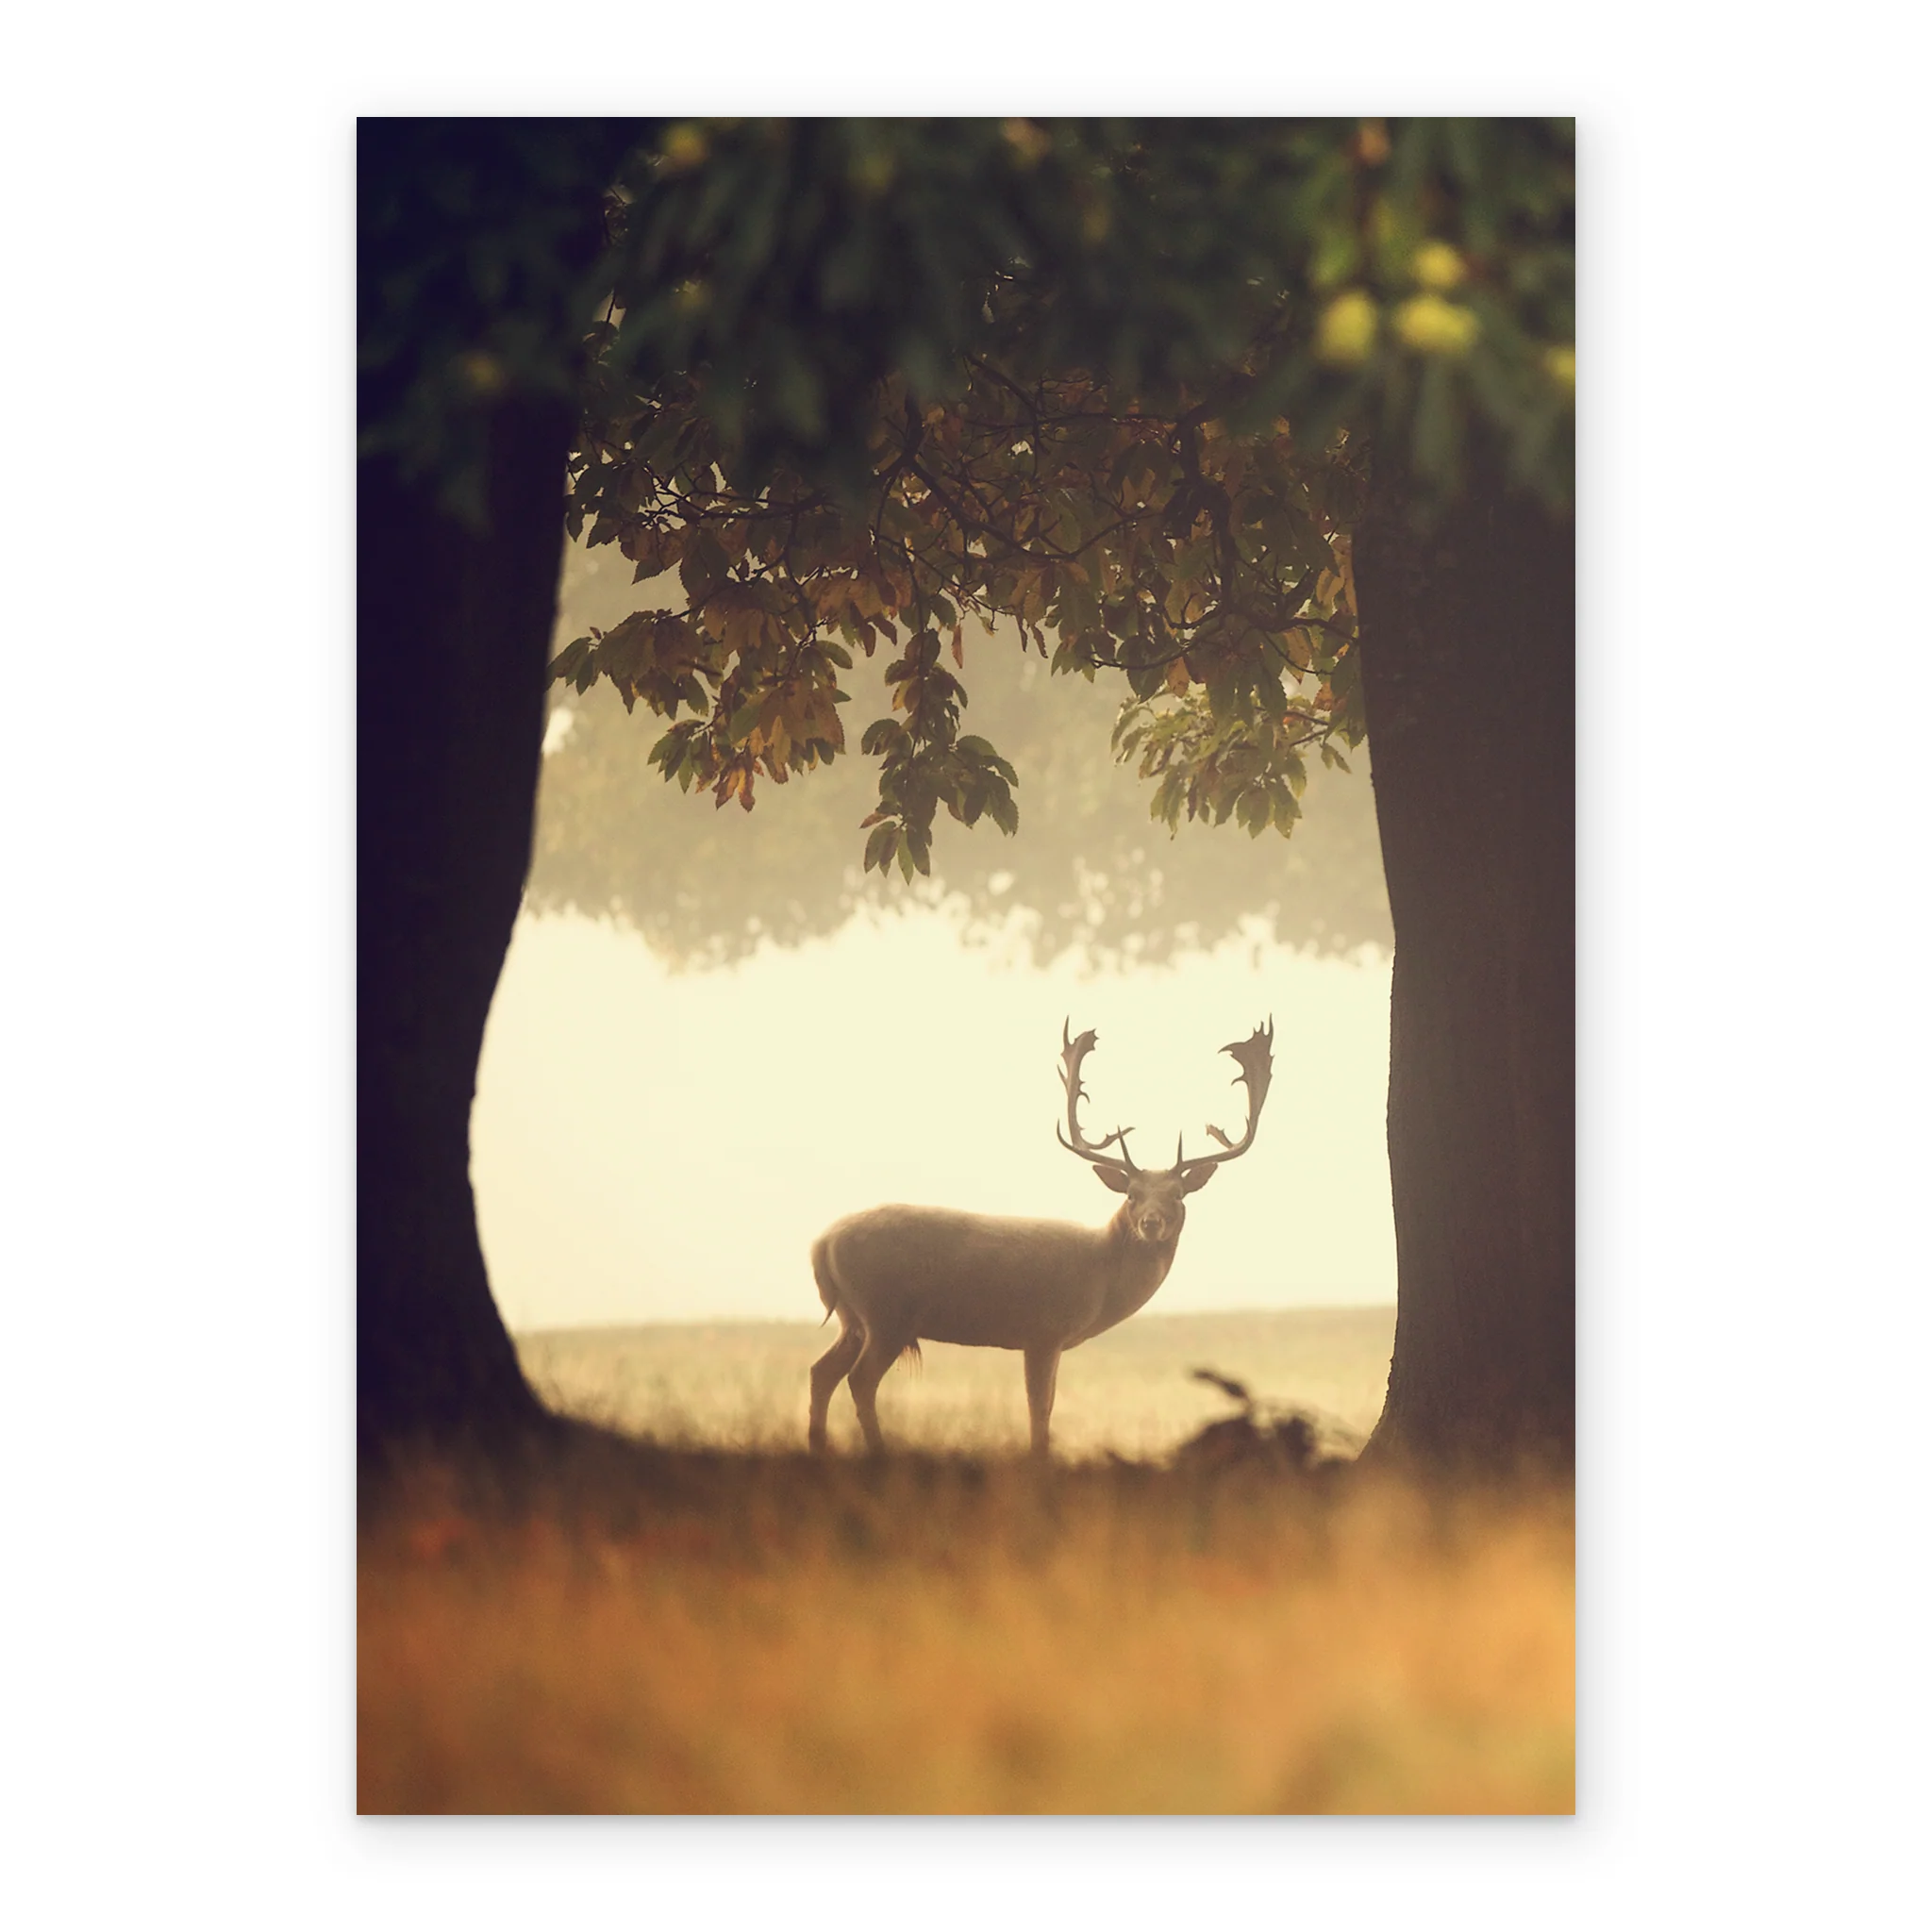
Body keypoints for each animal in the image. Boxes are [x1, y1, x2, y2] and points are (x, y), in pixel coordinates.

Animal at [807, 1019, 1274, 1458]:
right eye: (1131, 1194)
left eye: (1177, 1194)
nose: (1151, 1223)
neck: (1101, 1275)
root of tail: (822, 1244)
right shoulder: (1044, 1330)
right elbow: (1039, 1408)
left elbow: (1045, 1406)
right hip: (886, 1313)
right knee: (859, 1379)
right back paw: (877, 1451)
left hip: (853, 1317)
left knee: (821, 1371)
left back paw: (818, 1448)